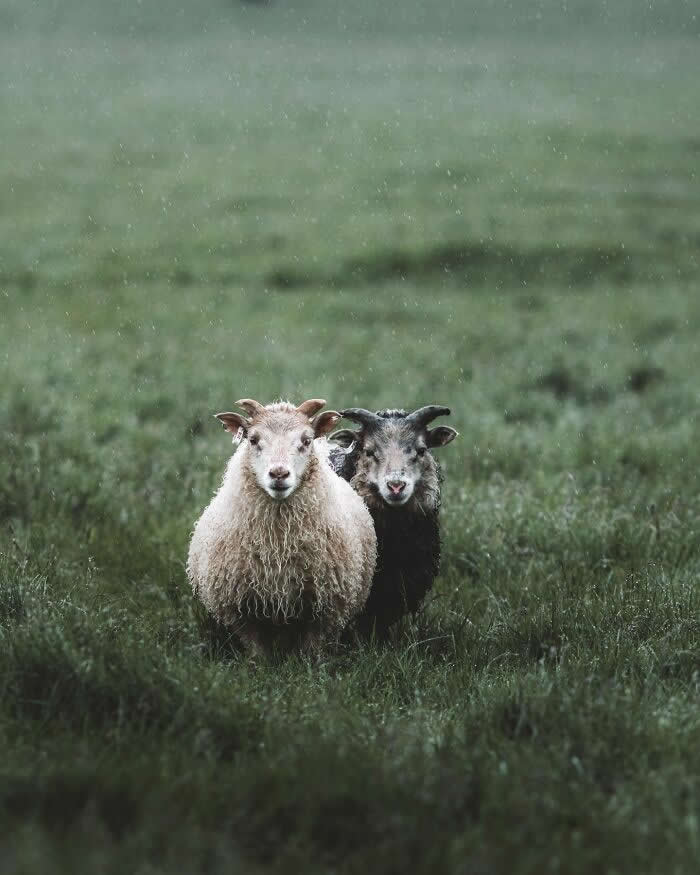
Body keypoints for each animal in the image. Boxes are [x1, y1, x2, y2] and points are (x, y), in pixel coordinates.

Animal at [187, 398, 377, 657]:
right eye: (253, 439)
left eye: (306, 440)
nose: (279, 473)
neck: (278, 543)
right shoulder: (241, 609)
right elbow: (258, 652)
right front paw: (259, 665)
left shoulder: (325, 608)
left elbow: (311, 650)